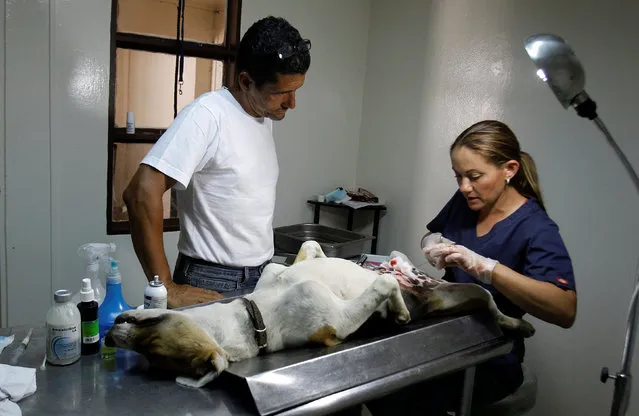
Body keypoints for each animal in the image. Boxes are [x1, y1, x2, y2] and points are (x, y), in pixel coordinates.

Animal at [105, 242, 536, 388]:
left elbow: (306, 248)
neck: (254, 318)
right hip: (455, 296)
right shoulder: (338, 322)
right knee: (484, 298)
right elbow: (383, 288)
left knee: (487, 295)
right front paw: (397, 313)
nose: (110, 335)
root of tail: (429, 294)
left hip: (447, 282)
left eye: (152, 343)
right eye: (154, 356)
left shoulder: (278, 273)